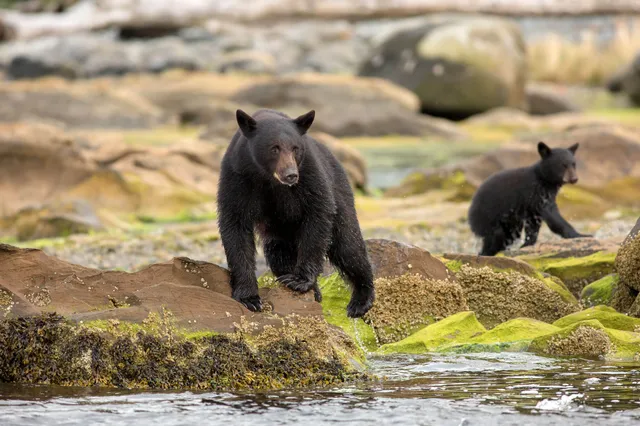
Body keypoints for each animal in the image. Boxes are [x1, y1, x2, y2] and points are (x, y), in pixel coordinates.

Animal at [216, 108, 375, 318]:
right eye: (274, 148)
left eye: (295, 148)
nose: (291, 174)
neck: (269, 180)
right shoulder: (237, 178)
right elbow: (235, 226)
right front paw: (248, 297)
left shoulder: (309, 175)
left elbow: (318, 214)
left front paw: (299, 280)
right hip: (279, 233)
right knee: (279, 254)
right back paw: (314, 291)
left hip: (340, 193)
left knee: (348, 245)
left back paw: (360, 300)